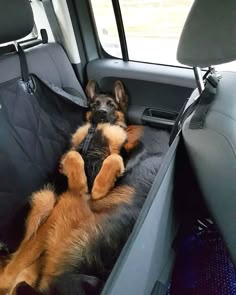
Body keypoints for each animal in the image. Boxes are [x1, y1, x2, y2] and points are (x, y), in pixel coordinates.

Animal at [0, 80, 170, 294]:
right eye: (95, 104)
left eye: (111, 105)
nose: (102, 112)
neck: (98, 128)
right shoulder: (69, 153)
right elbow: (74, 155)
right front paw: (81, 183)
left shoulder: (119, 154)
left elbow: (113, 159)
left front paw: (98, 188)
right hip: (45, 200)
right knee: (18, 256)